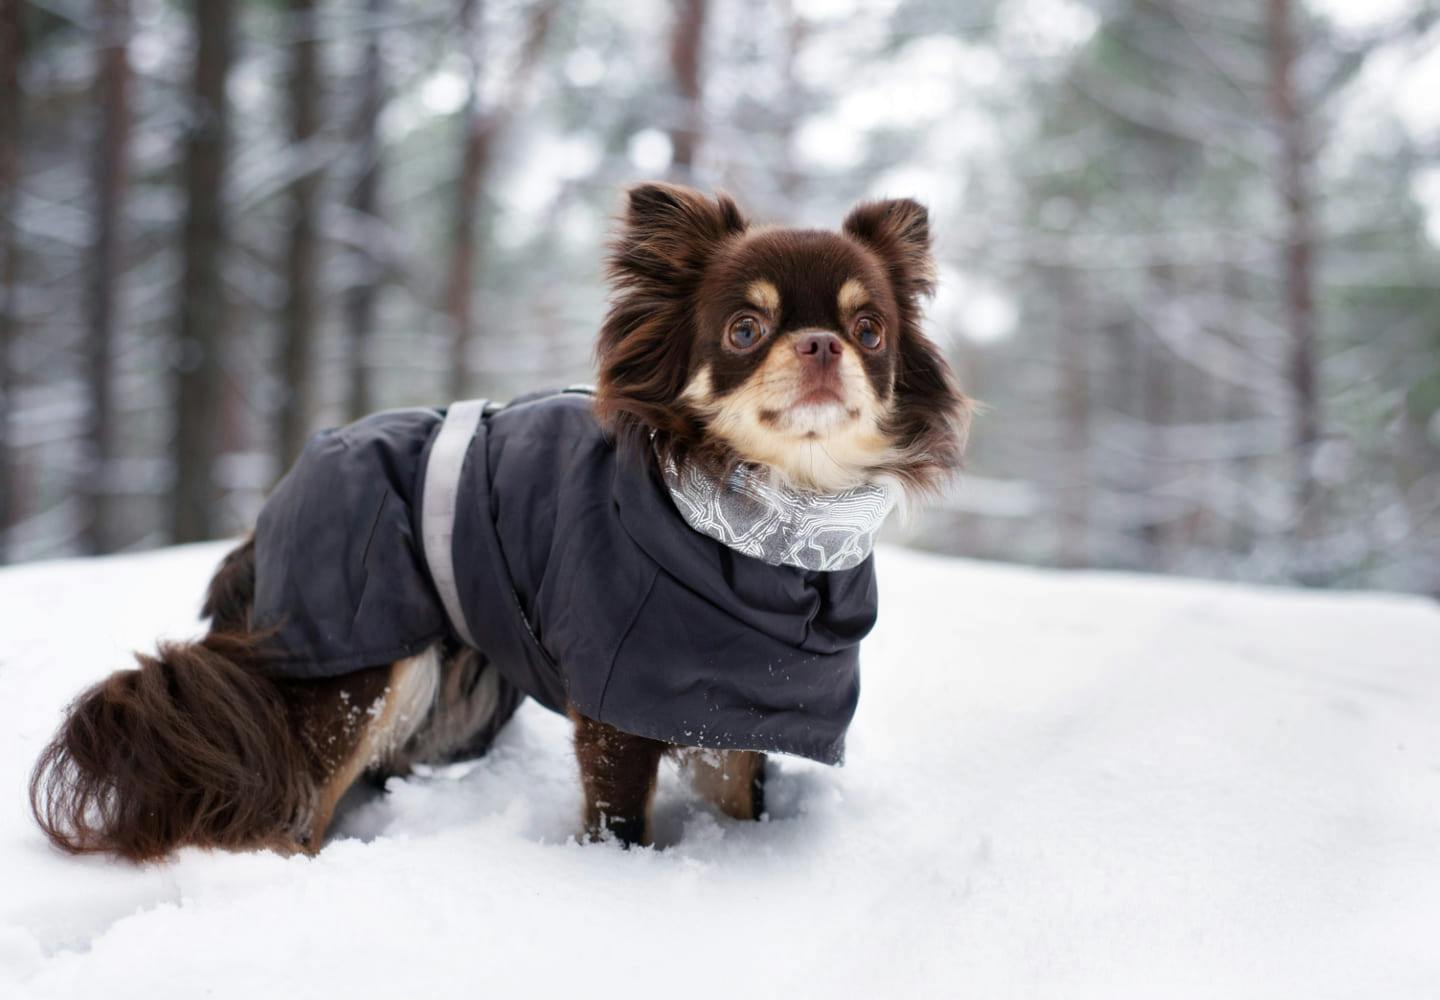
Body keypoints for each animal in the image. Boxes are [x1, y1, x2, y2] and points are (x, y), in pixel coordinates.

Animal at [28, 182, 967, 864]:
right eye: (745, 328)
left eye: (870, 329)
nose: (821, 344)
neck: (775, 534)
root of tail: (276, 503)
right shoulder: (617, 713)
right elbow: (623, 828)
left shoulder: (727, 710)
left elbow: (743, 802)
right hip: (364, 666)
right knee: (296, 808)